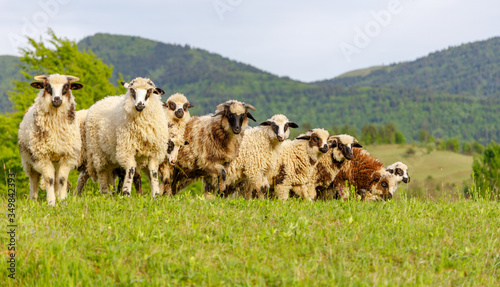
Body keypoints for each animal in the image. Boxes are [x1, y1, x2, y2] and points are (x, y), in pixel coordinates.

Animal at [18, 73, 84, 206]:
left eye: (66, 86)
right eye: (47, 86)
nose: (57, 100)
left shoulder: (67, 156)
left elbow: (62, 179)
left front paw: (62, 201)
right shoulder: (42, 156)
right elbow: (49, 179)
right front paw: (51, 202)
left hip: (56, 161)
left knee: (57, 177)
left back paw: (57, 195)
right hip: (28, 160)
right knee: (34, 178)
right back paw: (33, 199)